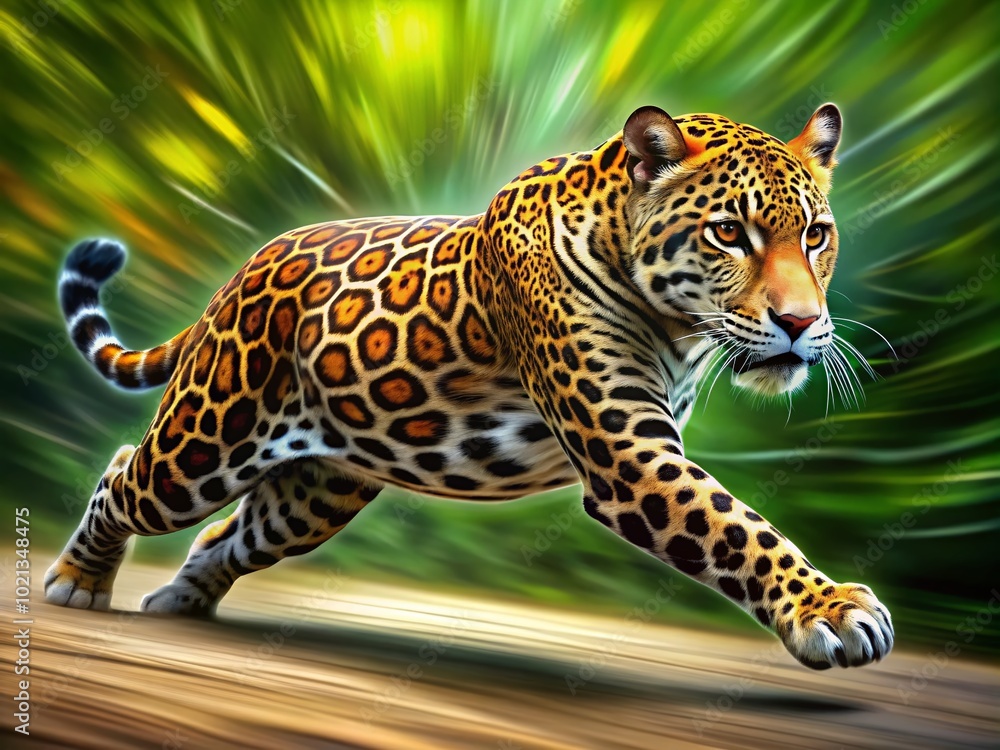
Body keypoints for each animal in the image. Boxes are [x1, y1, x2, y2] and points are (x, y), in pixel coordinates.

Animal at [45, 102, 893, 670]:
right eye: (727, 233)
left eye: (815, 235)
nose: (799, 321)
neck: (679, 329)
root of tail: (244, 270)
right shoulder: (626, 452)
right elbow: (736, 526)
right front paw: (833, 608)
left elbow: (734, 524)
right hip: (207, 441)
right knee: (124, 474)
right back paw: (78, 581)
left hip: (315, 492)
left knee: (228, 534)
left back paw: (183, 602)